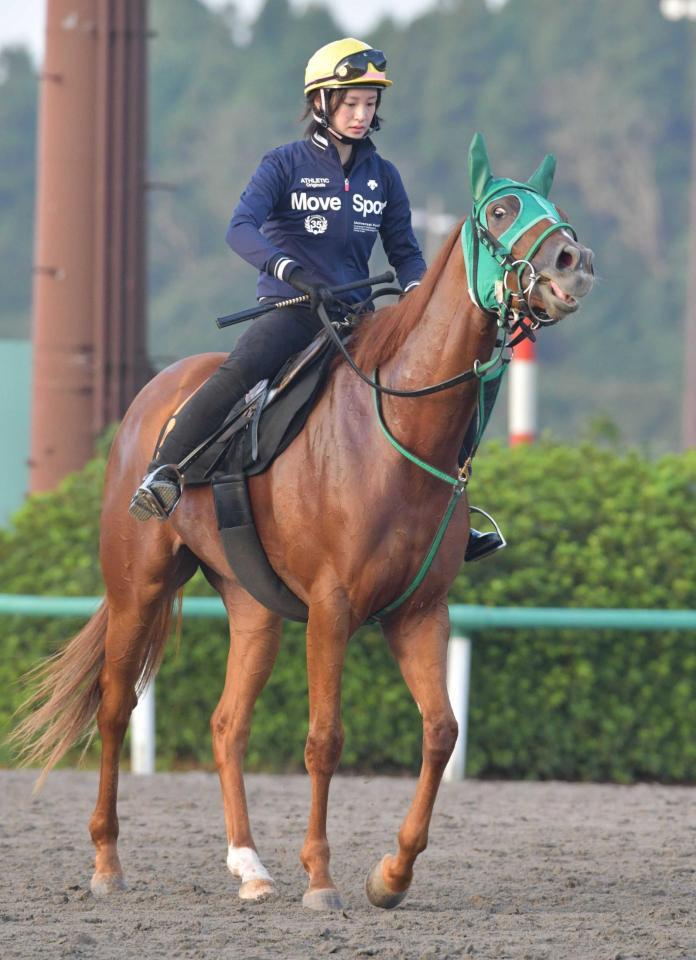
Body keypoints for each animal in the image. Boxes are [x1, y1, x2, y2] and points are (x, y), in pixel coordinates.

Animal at [12, 133, 592, 908]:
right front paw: (321, 875)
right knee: (113, 708)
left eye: (550, 205)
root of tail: (154, 397)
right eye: (500, 211)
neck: (396, 426)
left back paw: (250, 867)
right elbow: (325, 738)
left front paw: (392, 874)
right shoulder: (331, 607)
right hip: (138, 586)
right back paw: (107, 860)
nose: (573, 261)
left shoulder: (420, 613)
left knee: (228, 724)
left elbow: (441, 731)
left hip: (252, 606)